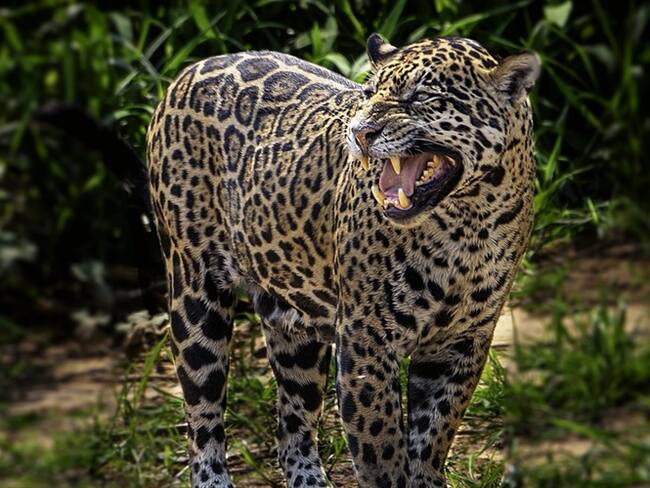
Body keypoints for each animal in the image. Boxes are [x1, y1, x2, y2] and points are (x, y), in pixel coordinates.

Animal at [145, 33, 540, 488]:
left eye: (422, 97)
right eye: (370, 94)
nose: (361, 132)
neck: (468, 224)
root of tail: (190, 70)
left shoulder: (461, 342)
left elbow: (431, 438)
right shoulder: (366, 340)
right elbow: (381, 451)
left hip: (294, 327)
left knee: (292, 427)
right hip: (194, 296)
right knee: (201, 420)